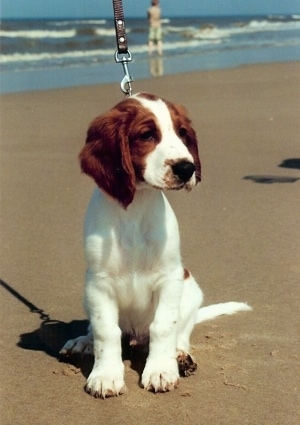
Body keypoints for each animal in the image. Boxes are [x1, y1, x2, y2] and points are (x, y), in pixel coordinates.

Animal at [60, 93, 251, 398]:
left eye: (182, 133)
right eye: (147, 135)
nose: (187, 168)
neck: (137, 207)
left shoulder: (170, 278)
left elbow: (163, 327)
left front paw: (161, 370)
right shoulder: (98, 282)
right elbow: (105, 330)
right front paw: (105, 375)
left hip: (190, 289)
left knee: (180, 334)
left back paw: (181, 358)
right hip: (87, 295)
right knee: (96, 329)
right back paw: (82, 342)